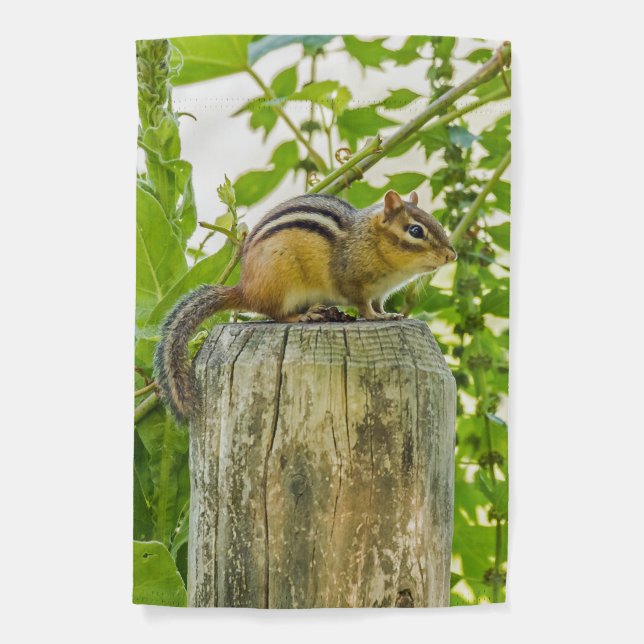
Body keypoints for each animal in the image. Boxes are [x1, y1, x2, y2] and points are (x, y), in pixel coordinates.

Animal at [154, 189, 456, 421]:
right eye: (415, 230)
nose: (451, 256)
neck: (372, 241)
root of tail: (245, 289)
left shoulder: (380, 293)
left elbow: (379, 305)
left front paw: (389, 314)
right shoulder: (353, 284)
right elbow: (364, 306)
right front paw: (375, 318)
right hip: (282, 283)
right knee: (275, 314)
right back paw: (305, 316)